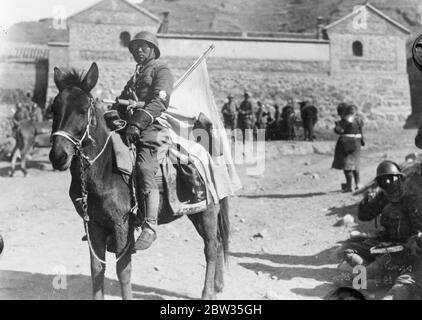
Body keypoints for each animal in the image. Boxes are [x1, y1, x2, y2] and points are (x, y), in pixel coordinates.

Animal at [48, 63, 231, 300]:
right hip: (196, 214)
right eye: (54, 108)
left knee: (211, 247)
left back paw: (207, 293)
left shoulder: (121, 226)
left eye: (83, 109)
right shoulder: (93, 225)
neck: (104, 169)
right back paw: (218, 286)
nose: (58, 155)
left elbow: (123, 271)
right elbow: (97, 269)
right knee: (218, 243)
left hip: (208, 212)